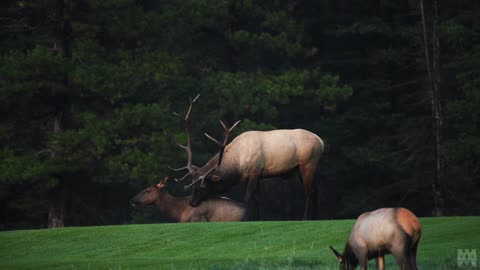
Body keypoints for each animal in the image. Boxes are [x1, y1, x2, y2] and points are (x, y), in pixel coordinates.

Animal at [167, 96, 324, 218]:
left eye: (203, 185)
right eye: (192, 183)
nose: (192, 202)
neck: (238, 165)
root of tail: (321, 142)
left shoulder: (255, 171)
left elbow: (247, 198)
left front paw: (246, 218)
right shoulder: (251, 177)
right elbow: (257, 198)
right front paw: (259, 218)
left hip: (307, 164)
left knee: (309, 191)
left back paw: (305, 217)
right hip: (304, 168)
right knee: (316, 189)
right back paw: (315, 217)